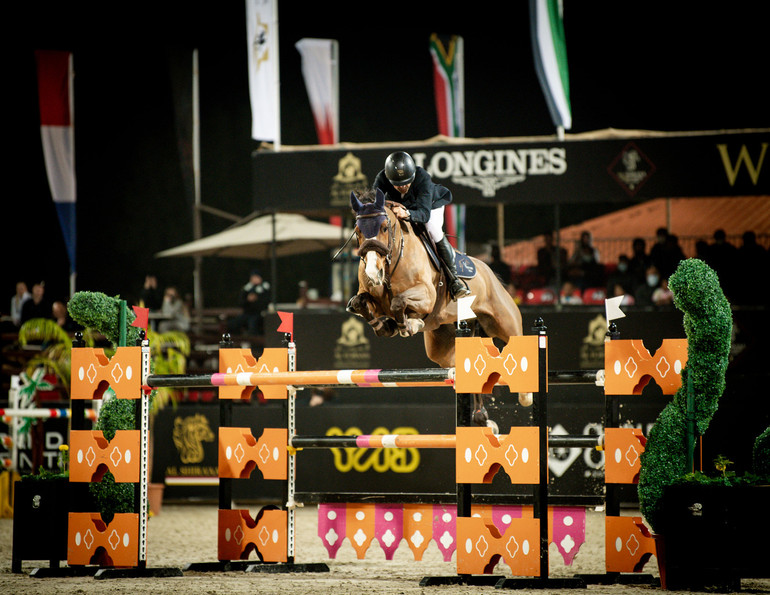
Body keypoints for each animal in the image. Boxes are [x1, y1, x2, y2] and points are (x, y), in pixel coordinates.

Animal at [346, 190, 532, 414]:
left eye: (384, 227)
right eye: (358, 231)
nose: (374, 273)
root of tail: (489, 273)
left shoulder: (426, 295)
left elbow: (398, 302)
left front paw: (408, 325)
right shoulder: (371, 298)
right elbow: (360, 302)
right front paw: (386, 326)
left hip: (504, 323)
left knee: (517, 345)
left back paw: (525, 396)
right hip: (443, 346)